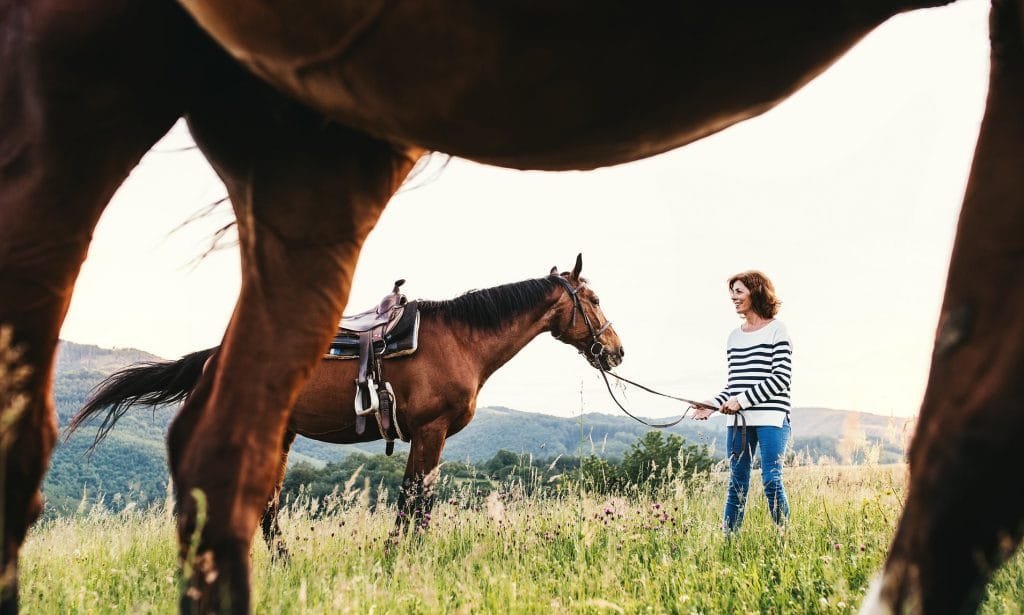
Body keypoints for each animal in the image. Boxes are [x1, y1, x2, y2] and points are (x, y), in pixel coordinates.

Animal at [65, 257, 623, 556]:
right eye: (594, 299)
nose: (616, 351)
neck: (461, 340)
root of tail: (212, 359)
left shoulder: (423, 436)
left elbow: (412, 497)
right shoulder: (431, 430)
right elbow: (416, 499)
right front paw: (405, 556)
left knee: (265, 505)